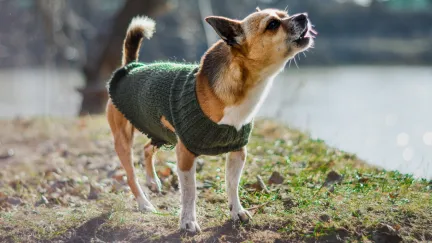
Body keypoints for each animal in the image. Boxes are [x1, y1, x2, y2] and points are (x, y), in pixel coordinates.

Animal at [104, 7, 314, 233]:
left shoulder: (238, 151)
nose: (303, 16)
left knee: (146, 149)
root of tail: (131, 66)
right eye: (273, 24)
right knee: (131, 175)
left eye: (285, 14)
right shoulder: (185, 155)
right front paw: (188, 221)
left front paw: (237, 211)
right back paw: (144, 203)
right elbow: (190, 193)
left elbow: (232, 185)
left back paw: (152, 181)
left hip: (160, 131)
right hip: (124, 139)